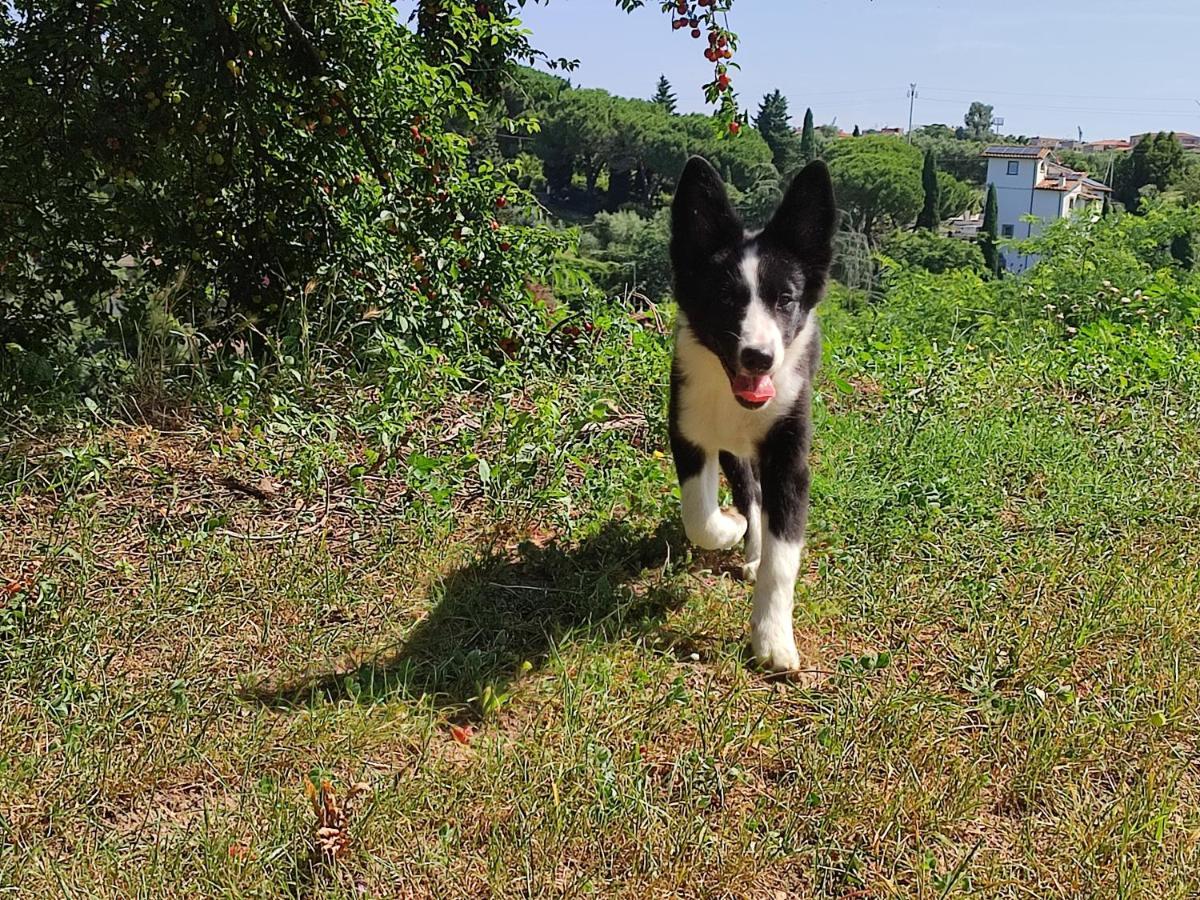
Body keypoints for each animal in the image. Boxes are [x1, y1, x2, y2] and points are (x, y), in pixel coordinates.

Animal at [672, 157, 840, 676]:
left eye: (785, 299)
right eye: (726, 298)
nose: (759, 358)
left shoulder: (789, 459)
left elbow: (782, 560)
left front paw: (772, 640)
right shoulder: (689, 433)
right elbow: (700, 518)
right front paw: (731, 528)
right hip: (732, 452)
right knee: (749, 493)